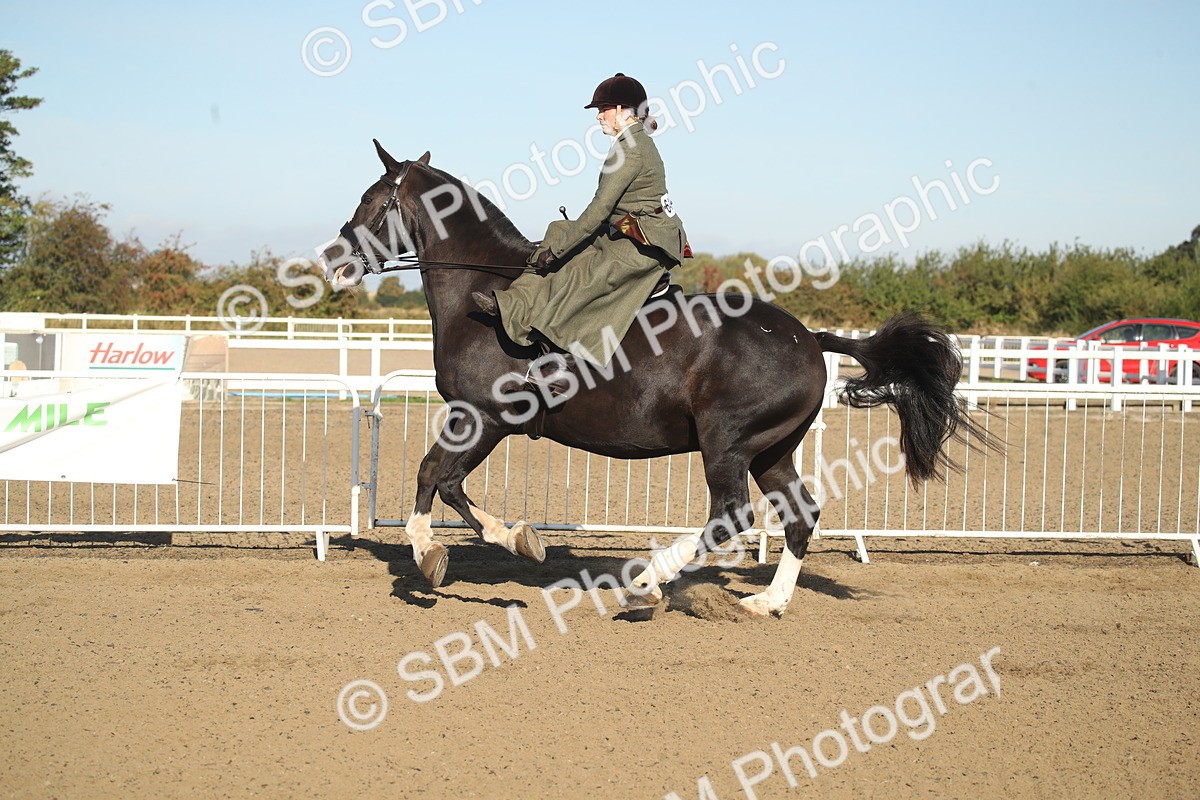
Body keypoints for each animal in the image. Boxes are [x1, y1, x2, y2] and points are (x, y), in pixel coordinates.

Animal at [320, 140, 994, 617]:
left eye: (373, 199)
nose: (331, 262)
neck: (483, 295)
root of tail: (808, 337)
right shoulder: (480, 420)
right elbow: (448, 484)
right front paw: (517, 540)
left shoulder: (483, 417)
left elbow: (435, 476)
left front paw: (433, 554)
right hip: (770, 449)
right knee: (799, 515)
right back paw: (766, 601)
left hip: (727, 443)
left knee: (731, 516)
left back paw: (647, 580)